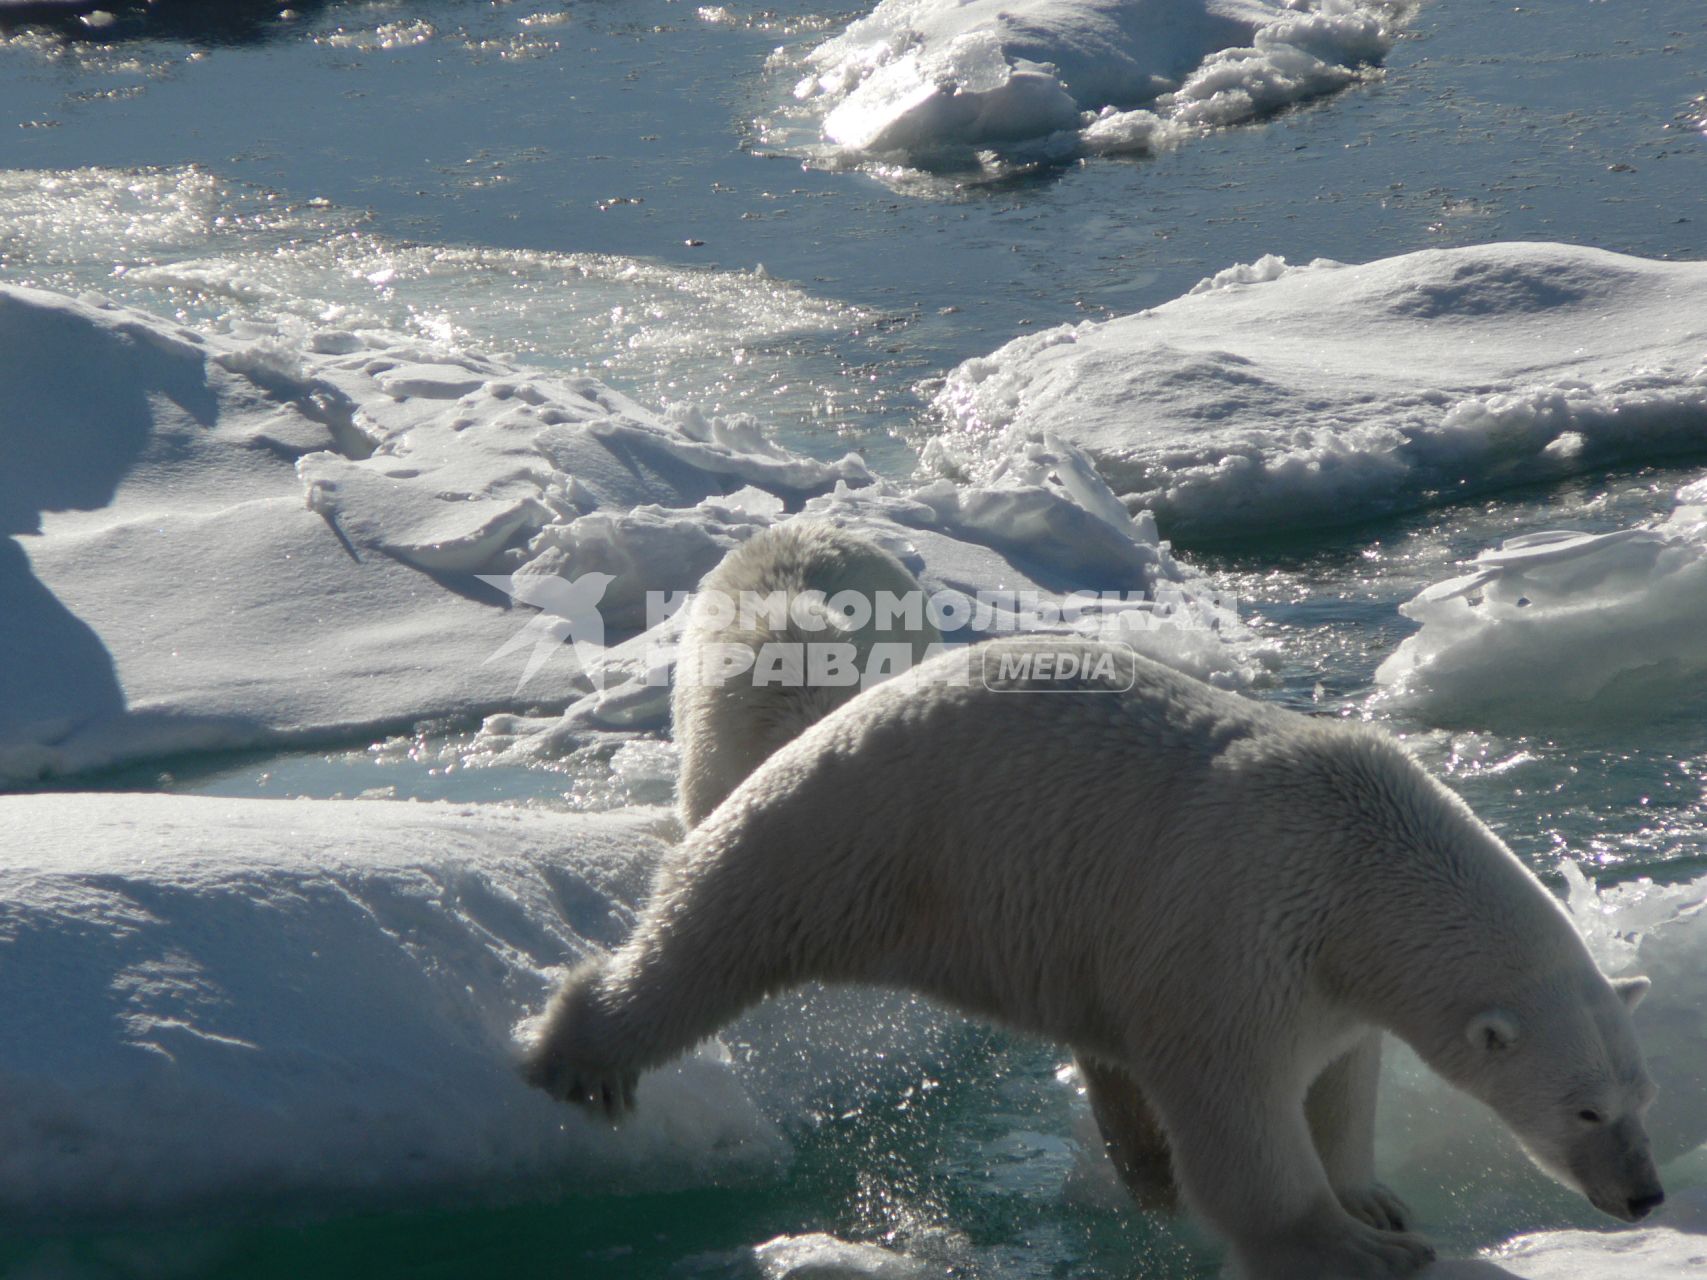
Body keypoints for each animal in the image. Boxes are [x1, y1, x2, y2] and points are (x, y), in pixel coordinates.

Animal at [525, 638, 1659, 1276]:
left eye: (1643, 1096)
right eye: (1586, 1111)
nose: (1645, 1195)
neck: (1360, 863)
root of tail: (847, 707)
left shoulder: (1328, 976)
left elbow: (1342, 1078)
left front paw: (1371, 1195)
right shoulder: (1244, 927)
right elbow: (1237, 1105)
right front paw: (1358, 1247)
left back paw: (1139, 1163)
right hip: (856, 831)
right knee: (710, 937)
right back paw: (581, 1058)